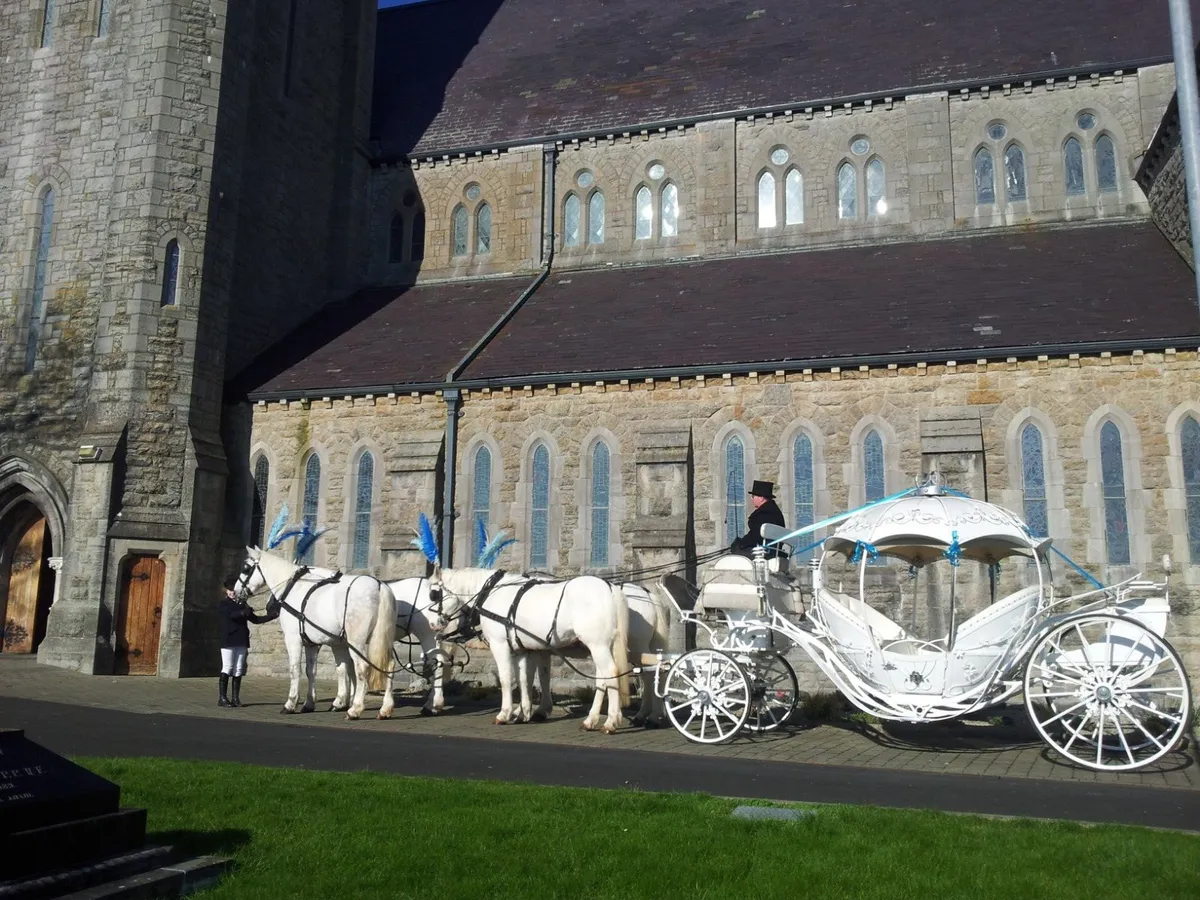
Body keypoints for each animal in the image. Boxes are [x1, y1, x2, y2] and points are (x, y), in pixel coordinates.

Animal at [234, 547, 398, 724]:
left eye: (246, 568)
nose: (235, 592)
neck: (294, 588)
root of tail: (379, 586)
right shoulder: (313, 643)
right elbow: (311, 671)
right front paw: (309, 703)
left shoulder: (293, 639)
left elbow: (295, 670)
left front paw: (290, 704)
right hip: (382, 640)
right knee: (389, 666)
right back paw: (385, 709)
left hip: (356, 642)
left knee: (362, 668)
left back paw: (355, 710)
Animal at [434, 571, 638, 734]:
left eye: (433, 594)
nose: (435, 625)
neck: (491, 593)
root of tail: (611, 588)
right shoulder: (524, 649)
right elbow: (525, 679)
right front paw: (523, 713)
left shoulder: (500, 645)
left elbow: (506, 678)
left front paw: (505, 714)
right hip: (602, 646)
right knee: (603, 679)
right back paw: (591, 721)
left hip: (598, 646)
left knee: (611, 674)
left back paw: (610, 722)